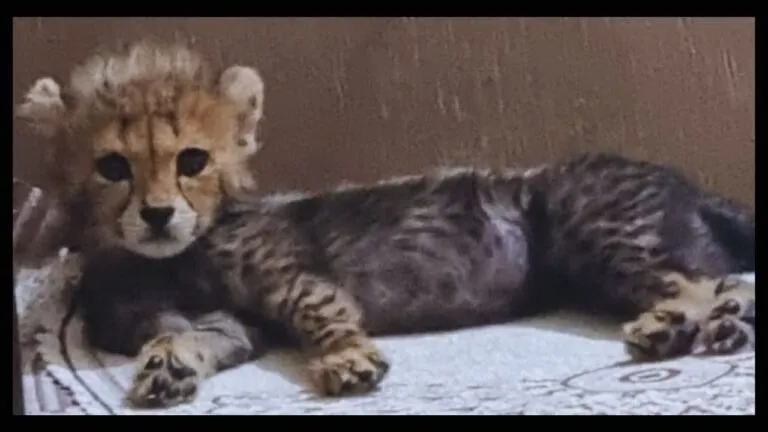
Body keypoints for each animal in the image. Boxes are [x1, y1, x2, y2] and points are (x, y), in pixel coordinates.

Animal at [16, 39, 755, 409]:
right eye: (113, 167)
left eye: (191, 160)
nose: (158, 213)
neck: (168, 259)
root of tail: (683, 179)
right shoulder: (226, 323)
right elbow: (188, 335)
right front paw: (168, 364)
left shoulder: (290, 278)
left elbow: (319, 309)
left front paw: (346, 357)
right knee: (726, 280)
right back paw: (713, 323)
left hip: (590, 225)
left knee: (699, 282)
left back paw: (679, 323)